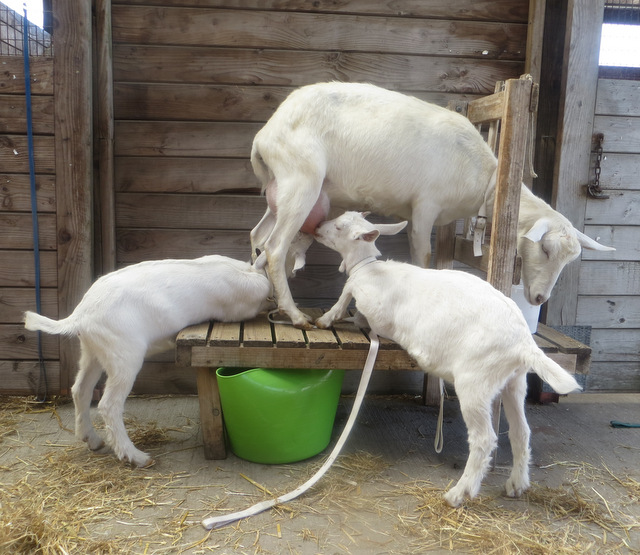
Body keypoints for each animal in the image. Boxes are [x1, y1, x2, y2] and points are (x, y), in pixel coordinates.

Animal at [23, 251, 305, 467]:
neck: (246, 272)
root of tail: (81, 315)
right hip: (125, 357)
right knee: (108, 405)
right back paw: (136, 456)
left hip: (92, 353)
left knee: (80, 389)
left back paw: (91, 440)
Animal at [249, 81, 614, 328]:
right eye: (547, 250)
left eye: (570, 260)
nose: (539, 298)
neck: (485, 177)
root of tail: (265, 135)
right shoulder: (425, 207)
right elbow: (423, 258)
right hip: (301, 181)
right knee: (276, 247)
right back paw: (295, 314)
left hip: (279, 190)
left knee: (258, 237)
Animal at [314, 211, 581, 507]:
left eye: (339, 227)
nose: (316, 228)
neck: (368, 268)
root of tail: (524, 344)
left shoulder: (373, 307)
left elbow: (347, 294)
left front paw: (327, 318)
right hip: (514, 382)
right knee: (521, 431)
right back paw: (517, 484)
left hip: (475, 382)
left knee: (484, 439)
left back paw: (459, 493)